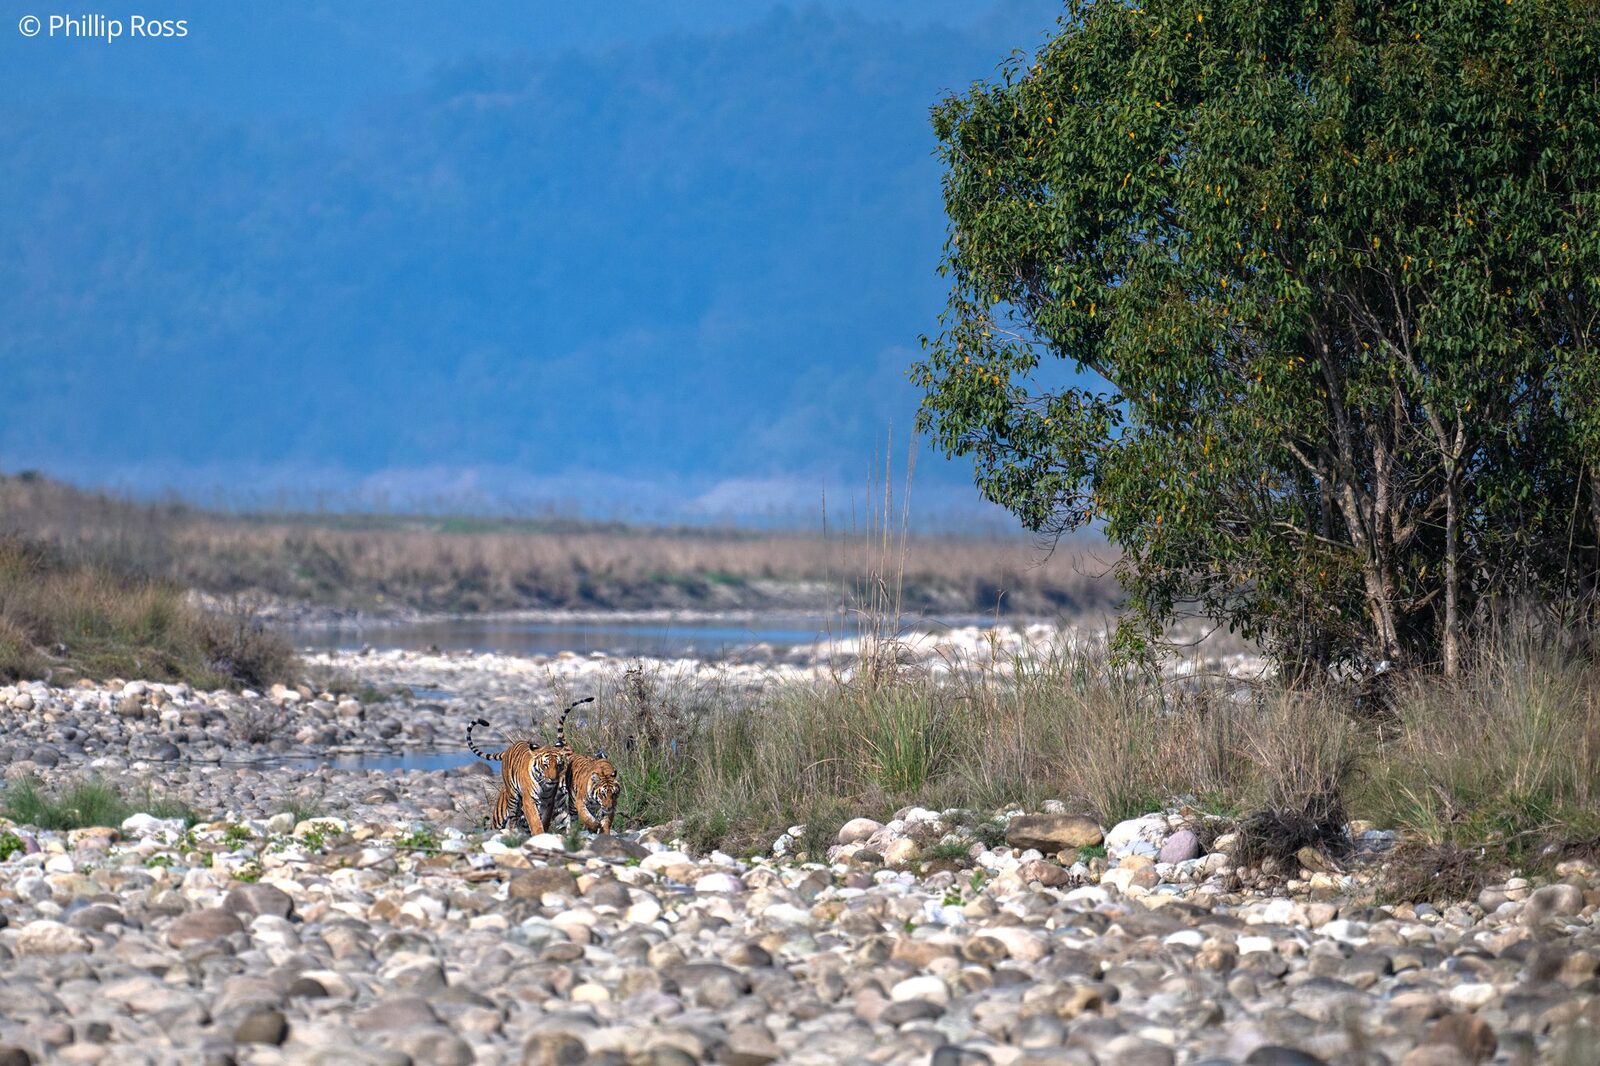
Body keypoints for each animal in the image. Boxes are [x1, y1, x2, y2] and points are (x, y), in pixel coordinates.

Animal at [466, 696, 593, 834]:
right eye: (545, 765)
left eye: (559, 765)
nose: (553, 779)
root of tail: (510, 748)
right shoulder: (530, 800)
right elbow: (535, 820)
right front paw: (539, 832)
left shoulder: (550, 804)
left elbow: (548, 820)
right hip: (509, 803)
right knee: (511, 820)